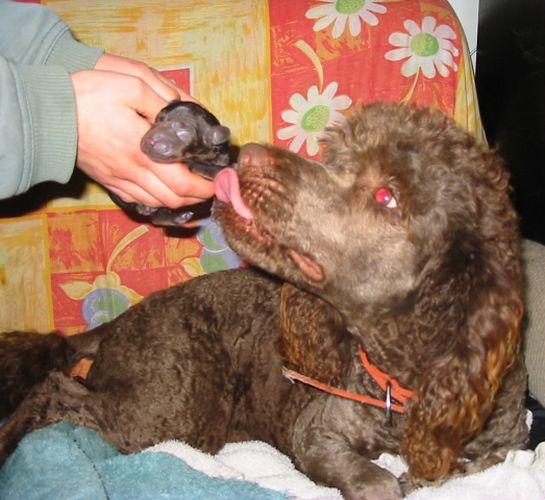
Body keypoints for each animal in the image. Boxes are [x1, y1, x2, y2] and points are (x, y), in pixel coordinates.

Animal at [0, 103, 528, 498]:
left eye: (386, 196)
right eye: (336, 155)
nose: (247, 156)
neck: (402, 382)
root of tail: (115, 324)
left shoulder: (502, 447)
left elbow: (461, 467)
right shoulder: (315, 434)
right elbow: (378, 482)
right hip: (177, 411)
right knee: (53, 390)